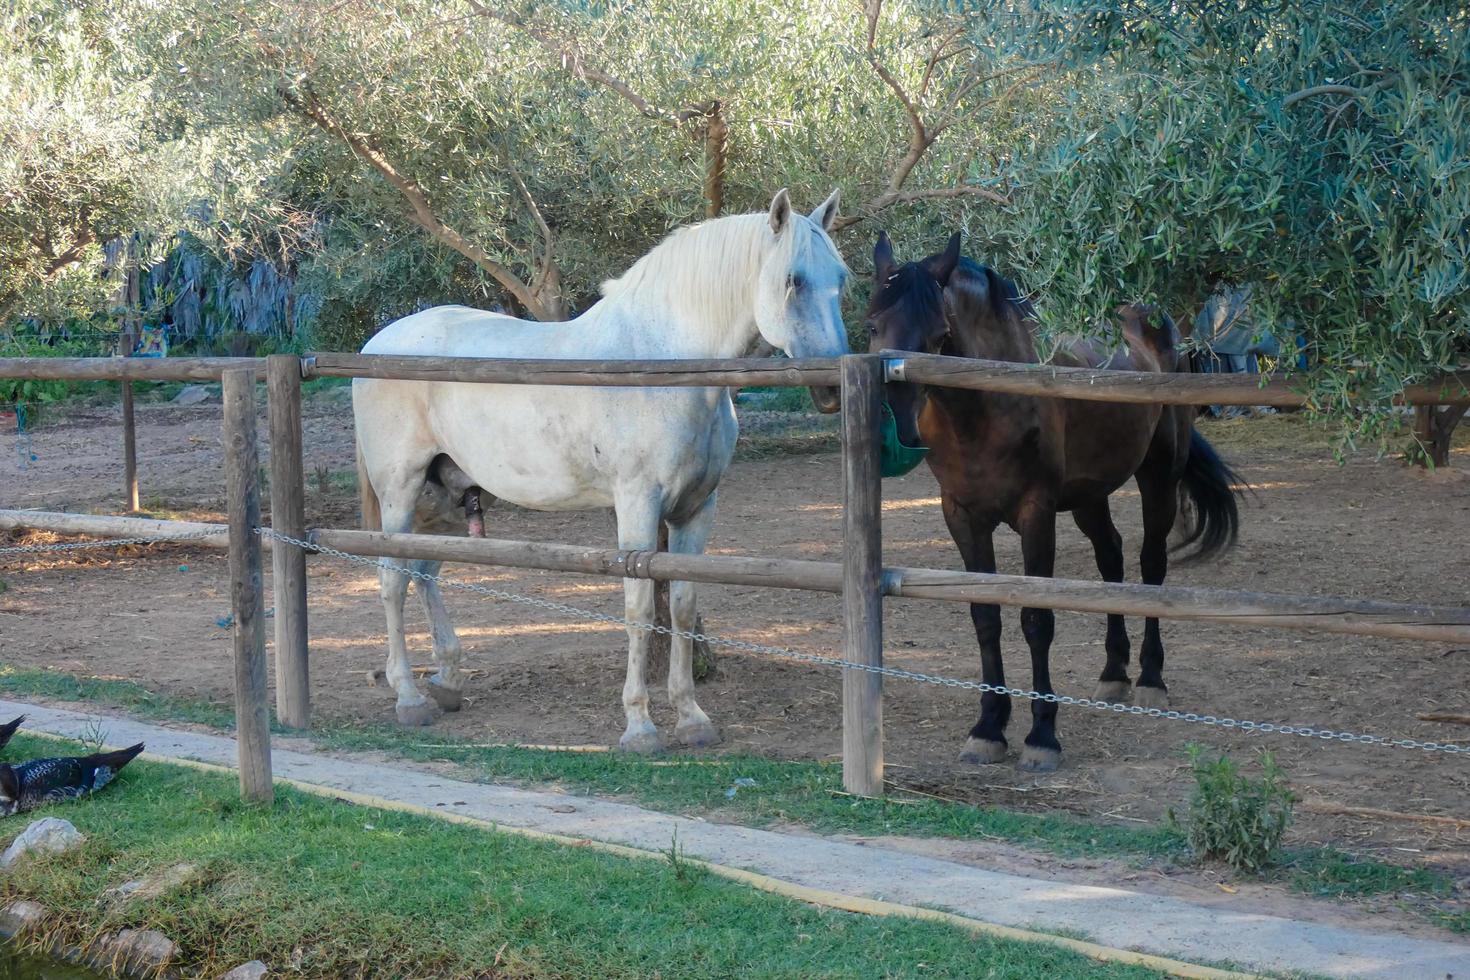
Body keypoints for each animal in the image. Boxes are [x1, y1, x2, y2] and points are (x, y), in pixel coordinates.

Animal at [351, 188, 852, 746]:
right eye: (793, 280)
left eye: (840, 277)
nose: (832, 384)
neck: (660, 366)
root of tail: (375, 346)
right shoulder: (637, 504)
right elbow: (640, 609)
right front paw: (640, 726)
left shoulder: (697, 509)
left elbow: (682, 605)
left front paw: (692, 717)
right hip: (401, 489)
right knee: (392, 579)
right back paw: (410, 698)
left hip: (448, 498)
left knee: (423, 571)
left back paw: (448, 681)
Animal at [864, 233, 1246, 769]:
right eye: (871, 325)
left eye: (939, 335)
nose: (892, 429)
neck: (986, 406)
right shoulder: (962, 516)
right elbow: (985, 617)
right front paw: (988, 727)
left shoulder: (1036, 513)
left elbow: (1036, 619)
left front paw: (1042, 733)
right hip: (1088, 496)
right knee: (1111, 560)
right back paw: (1113, 673)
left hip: (1158, 478)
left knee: (1151, 567)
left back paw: (1150, 678)